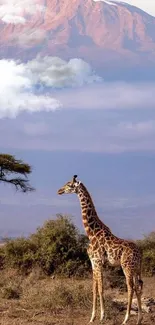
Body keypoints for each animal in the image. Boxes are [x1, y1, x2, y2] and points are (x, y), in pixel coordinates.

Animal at [57, 176, 143, 322]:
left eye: (69, 185)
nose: (59, 191)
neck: (91, 232)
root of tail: (140, 253)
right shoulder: (93, 263)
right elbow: (94, 288)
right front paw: (92, 317)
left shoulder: (97, 262)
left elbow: (101, 288)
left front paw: (102, 316)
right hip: (136, 268)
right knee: (138, 287)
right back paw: (139, 319)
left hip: (127, 266)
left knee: (130, 287)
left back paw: (126, 319)